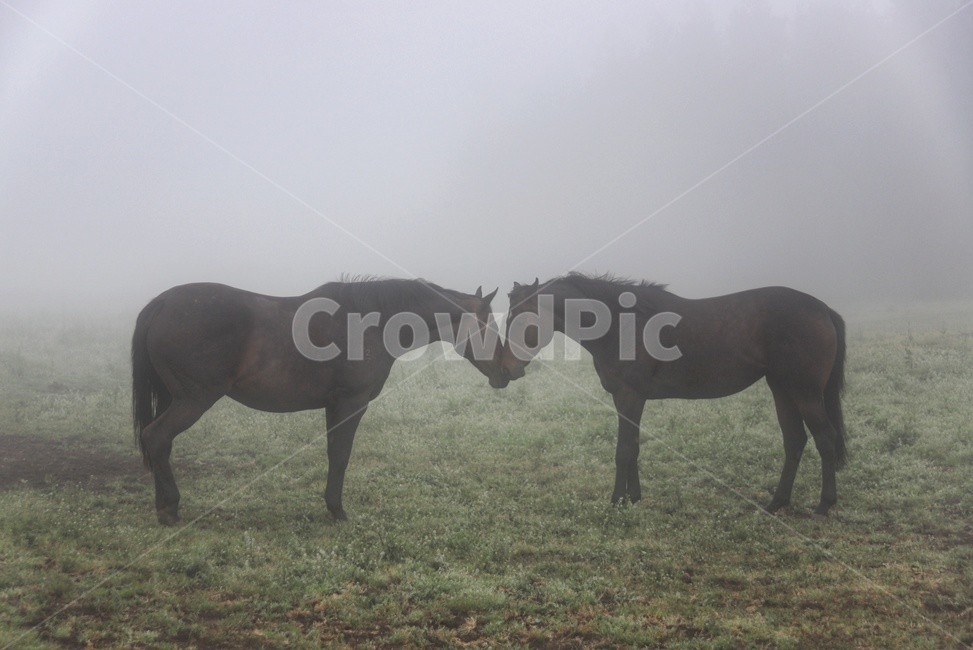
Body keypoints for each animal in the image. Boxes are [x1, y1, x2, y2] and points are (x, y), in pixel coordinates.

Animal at [132, 277, 508, 525]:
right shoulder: (351, 403)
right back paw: (169, 509)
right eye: (487, 326)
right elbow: (340, 456)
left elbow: (332, 453)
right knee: (156, 437)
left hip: (174, 398)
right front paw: (337, 510)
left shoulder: (333, 406)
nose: (506, 372)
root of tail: (161, 304)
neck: (369, 323)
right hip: (193, 400)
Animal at [499, 273, 846, 516]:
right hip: (782, 389)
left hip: (804, 392)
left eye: (523, 318)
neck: (621, 326)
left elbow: (624, 449)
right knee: (795, 441)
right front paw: (633, 497)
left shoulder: (628, 396)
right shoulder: (631, 399)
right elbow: (634, 447)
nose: (505, 370)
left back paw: (825, 504)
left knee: (825, 438)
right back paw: (777, 502)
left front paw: (617, 500)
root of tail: (823, 309)